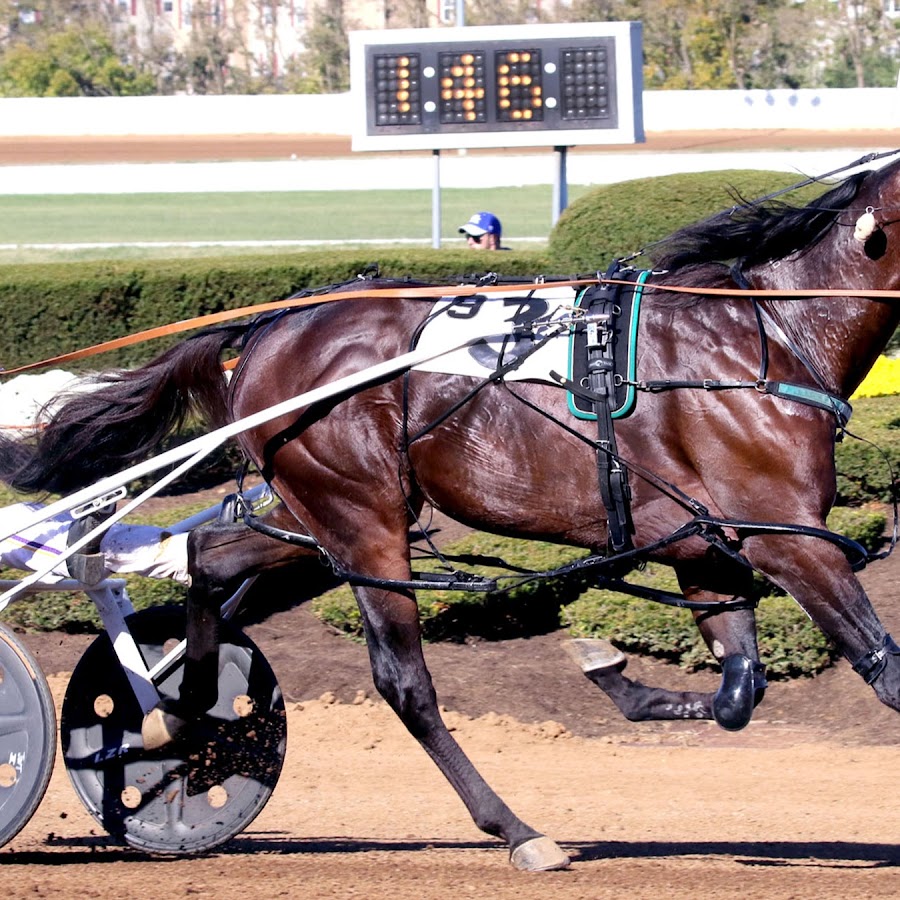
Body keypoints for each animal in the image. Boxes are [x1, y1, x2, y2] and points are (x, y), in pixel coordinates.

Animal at [5, 156, 900, 872]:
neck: (772, 336)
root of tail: (270, 327)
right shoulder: (788, 541)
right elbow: (884, 675)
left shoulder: (710, 547)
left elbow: (739, 690)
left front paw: (613, 675)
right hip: (361, 519)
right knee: (405, 685)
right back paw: (517, 830)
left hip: (317, 517)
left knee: (209, 562)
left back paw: (180, 719)